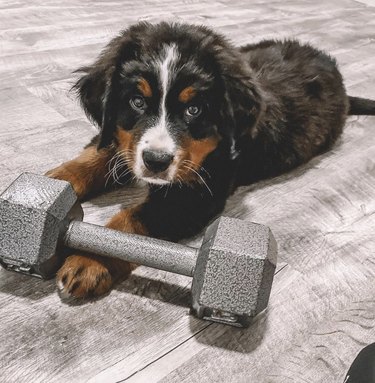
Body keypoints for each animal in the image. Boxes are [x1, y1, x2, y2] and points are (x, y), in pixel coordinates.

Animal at [47, 21, 375, 298]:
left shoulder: (196, 195)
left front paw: (89, 259)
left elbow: (130, 222)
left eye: (194, 110)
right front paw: (51, 184)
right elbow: (94, 157)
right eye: (137, 102)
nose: (156, 161)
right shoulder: (119, 137)